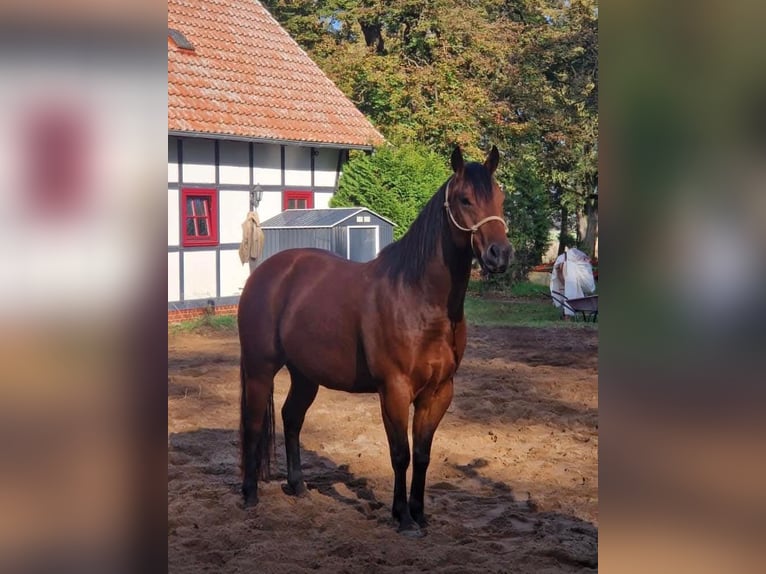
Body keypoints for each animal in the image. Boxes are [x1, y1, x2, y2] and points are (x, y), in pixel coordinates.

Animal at [237, 146, 512, 536]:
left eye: (500, 198)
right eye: (465, 199)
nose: (499, 254)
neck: (417, 297)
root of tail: (266, 272)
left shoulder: (439, 392)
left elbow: (423, 454)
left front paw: (419, 513)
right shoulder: (394, 389)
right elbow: (400, 453)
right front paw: (403, 518)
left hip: (305, 374)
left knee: (291, 418)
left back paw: (299, 486)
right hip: (260, 368)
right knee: (254, 422)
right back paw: (249, 495)